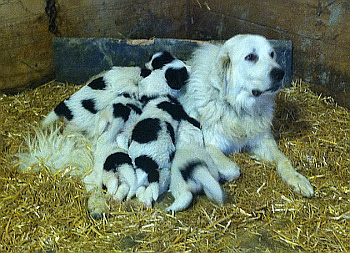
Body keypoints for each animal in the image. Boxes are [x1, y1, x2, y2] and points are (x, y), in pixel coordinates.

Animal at [180, 34, 314, 198]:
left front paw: (297, 178)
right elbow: (232, 169)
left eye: (272, 54)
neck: (238, 108)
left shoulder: (264, 140)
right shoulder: (210, 145)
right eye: (250, 57)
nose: (280, 73)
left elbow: (283, 159)